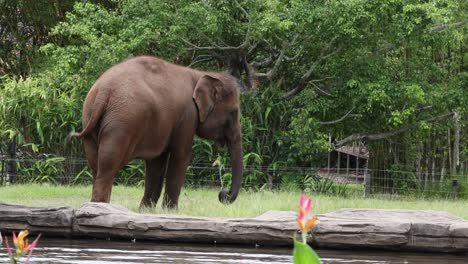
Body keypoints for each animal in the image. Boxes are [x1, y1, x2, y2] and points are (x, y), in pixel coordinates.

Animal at [71, 55, 245, 208]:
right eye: (234, 112)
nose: (223, 193)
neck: (199, 74)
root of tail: (103, 91)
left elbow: (157, 162)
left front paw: (145, 210)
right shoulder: (187, 116)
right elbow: (181, 156)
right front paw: (172, 211)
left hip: (90, 117)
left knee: (95, 165)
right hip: (121, 123)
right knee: (108, 165)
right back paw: (100, 206)